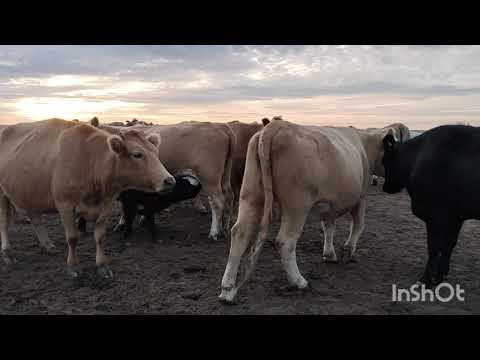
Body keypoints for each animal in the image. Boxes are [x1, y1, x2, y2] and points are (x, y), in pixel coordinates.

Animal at [0, 119, 175, 278]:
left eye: (156, 153)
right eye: (137, 154)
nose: (169, 180)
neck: (90, 162)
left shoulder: (106, 205)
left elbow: (100, 237)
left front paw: (102, 265)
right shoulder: (65, 205)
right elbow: (72, 238)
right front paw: (73, 266)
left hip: (30, 192)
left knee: (35, 218)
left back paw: (47, 245)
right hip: (2, 195)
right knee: (4, 223)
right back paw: (7, 252)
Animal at [93, 119, 235, 240]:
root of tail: (220, 126)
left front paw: (123, 223)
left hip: (209, 178)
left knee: (217, 201)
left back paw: (214, 232)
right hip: (224, 176)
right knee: (229, 196)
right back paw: (225, 228)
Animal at [219, 118, 406, 300]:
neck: (365, 145)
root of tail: (276, 126)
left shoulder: (329, 204)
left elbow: (329, 227)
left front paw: (329, 254)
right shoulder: (361, 198)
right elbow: (358, 225)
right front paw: (348, 250)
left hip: (251, 195)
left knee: (240, 233)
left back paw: (227, 289)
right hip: (297, 206)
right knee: (285, 241)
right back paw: (298, 281)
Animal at [382, 125, 480, 288]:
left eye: (384, 161)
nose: (386, 188)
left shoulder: (435, 215)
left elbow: (434, 247)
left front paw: (426, 279)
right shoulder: (456, 216)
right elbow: (449, 244)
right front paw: (440, 275)